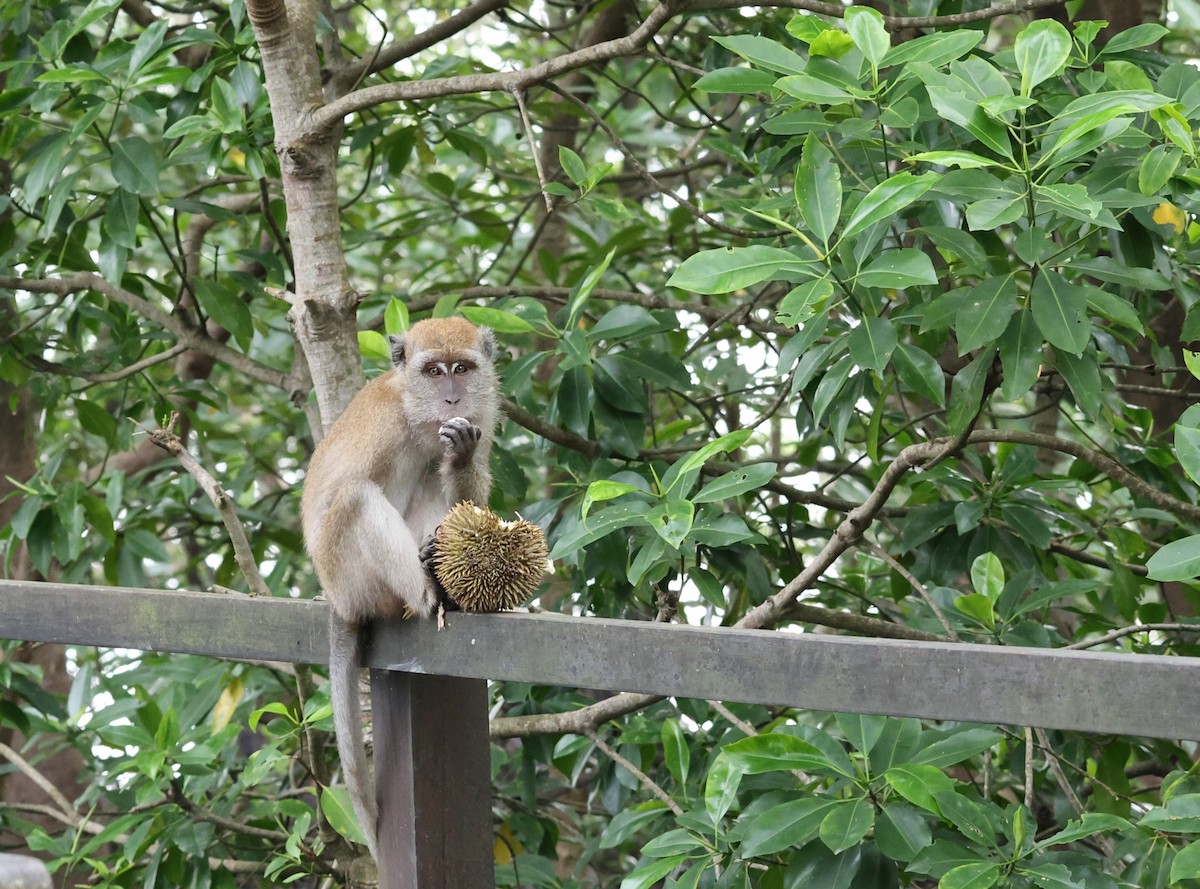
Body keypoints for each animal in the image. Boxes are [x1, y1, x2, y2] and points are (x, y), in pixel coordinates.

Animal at [300, 317, 499, 862]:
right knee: (354, 499)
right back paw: (428, 595)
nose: (452, 399)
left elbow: (467, 496)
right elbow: (338, 496)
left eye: (462, 369)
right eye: (433, 371)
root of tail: (337, 601)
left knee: (433, 478)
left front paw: (463, 455)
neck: (416, 414)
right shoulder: (385, 426)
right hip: (350, 577)